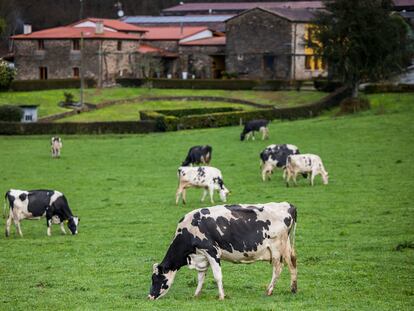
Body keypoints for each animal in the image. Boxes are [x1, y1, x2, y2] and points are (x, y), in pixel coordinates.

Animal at [149, 204, 298, 302]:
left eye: (155, 278)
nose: (149, 296)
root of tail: (288, 205)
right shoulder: (201, 256)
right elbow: (201, 277)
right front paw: (196, 295)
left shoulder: (212, 251)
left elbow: (217, 276)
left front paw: (221, 296)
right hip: (286, 247)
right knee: (292, 263)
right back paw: (293, 289)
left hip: (277, 248)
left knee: (278, 268)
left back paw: (270, 290)